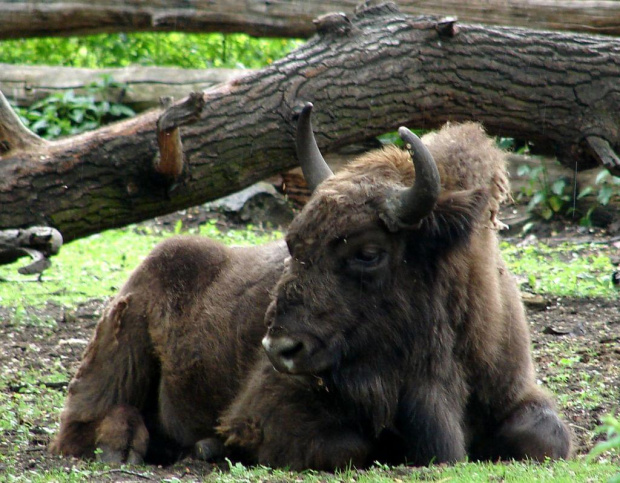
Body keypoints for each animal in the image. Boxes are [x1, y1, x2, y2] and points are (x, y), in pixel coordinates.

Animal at [50, 104, 572, 470]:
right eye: (293, 242)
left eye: (367, 252)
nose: (280, 348)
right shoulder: (271, 412)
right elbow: (349, 446)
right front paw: (215, 445)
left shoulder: (513, 388)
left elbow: (548, 437)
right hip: (119, 348)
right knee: (83, 420)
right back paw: (127, 447)